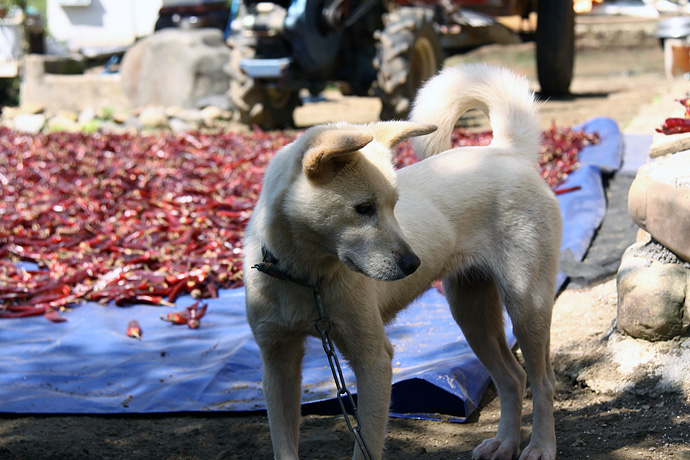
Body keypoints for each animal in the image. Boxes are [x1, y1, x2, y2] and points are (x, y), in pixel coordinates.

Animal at [242, 62, 560, 460]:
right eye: (363, 209)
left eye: (395, 205)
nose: (413, 264)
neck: (306, 279)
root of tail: (505, 151)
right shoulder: (278, 362)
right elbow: (284, 445)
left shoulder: (374, 361)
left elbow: (366, 446)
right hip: (471, 315)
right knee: (513, 378)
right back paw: (504, 443)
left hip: (526, 306)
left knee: (542, 381)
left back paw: (540, 446)